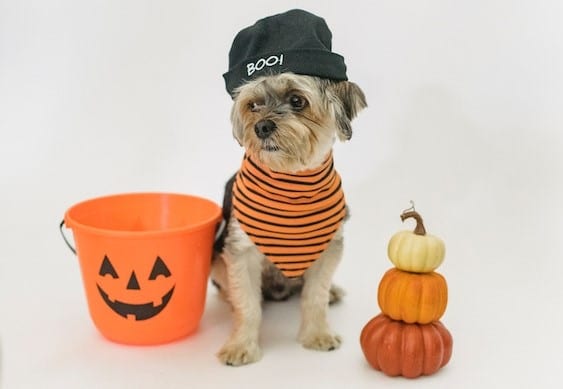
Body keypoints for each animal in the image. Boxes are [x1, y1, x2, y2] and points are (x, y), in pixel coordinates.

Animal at [212, 9, 366, 366]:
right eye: (252, 105)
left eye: (297, 100)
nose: (261, 126)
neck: (292, 183)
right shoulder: (240, 251)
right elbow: (248, 306)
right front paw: (241, 345)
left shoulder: (329, 248)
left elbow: (315, 297)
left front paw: (317, 334)